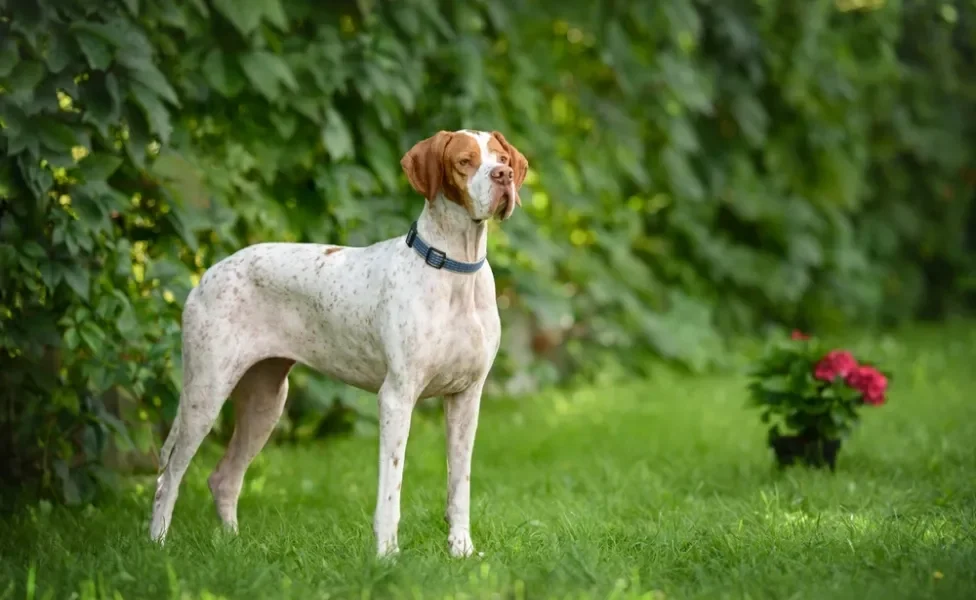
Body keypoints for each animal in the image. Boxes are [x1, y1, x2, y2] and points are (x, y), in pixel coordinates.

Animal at [147, 129, 528, 556]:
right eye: (464, 161)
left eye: (501, 158)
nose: (503, 176)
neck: (455, 269)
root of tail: (208, 272)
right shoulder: (397, 398)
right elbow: (391, 490)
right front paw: (387, 554)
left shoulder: (466, 398)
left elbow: (459, 484)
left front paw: (461, 549)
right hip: (206, 393)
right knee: (169, 476)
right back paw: (157, 543)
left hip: (265, 401)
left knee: (223, 478)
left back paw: (232, 545)